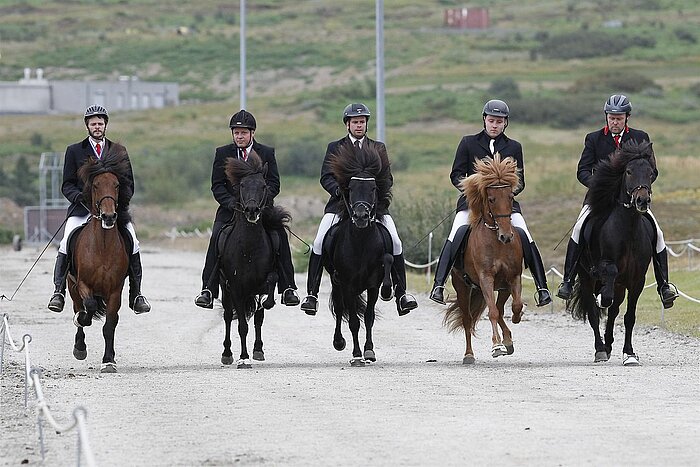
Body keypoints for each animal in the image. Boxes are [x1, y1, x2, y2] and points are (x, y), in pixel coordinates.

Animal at [67, 148, 131, 374]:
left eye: (117, 185)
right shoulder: (83, 284)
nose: (109, 216)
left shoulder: (115, 290)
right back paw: (79, 346)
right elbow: (89, 306)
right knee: (79, 308)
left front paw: (108, 361)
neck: (102, 246)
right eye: (95, 185)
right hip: (71, 287)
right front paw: (82, 321)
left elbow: (109, 326)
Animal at [216, 154, 288, 370]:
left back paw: (258, 349)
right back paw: (227, 353)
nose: (252, 210)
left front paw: (268, 301)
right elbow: (241, 325)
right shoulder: (236, 288)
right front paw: (243, 358)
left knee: (258, 318)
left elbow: (271, 282)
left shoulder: (262, 281)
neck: (249, 249)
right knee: (228, 317)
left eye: (264, 186)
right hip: (224, 287)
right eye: (241, 185)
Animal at [326, 144, 396, 368]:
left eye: (373, 189)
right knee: (340, 309)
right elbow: (354, 322)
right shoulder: (347, 284)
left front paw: (369, 351)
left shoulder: (373, 284)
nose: (361, 217)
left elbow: (369, 317)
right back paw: (338, 342)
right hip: (337, 282)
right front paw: (357, 355)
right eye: (351, 189)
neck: (361, 242)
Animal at [442, 155, 524, 364]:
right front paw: (496, 346)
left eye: (511, 197)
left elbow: (514, 305)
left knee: (500, 308)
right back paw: (469, 355)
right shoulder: (486, 277)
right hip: (463, 287)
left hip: (501, 287)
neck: (497, 242)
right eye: (492, 199)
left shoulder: (513, 277)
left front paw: (516, 320)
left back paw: (508, 340)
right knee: (468, 319)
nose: (506, 236)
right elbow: (492, 312)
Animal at [568, 141, 656, 368]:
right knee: (594, 312)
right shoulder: (605, 267)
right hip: (586, 277)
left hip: (621, 285)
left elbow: (629, 317)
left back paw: (607, 345)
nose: (642, 201)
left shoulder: (637, 280)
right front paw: (601, 298)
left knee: (614, 310)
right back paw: (600, 349)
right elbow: (604, 298)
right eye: (629, 171)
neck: (628, 227)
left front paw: (630, 354)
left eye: (651, 172)